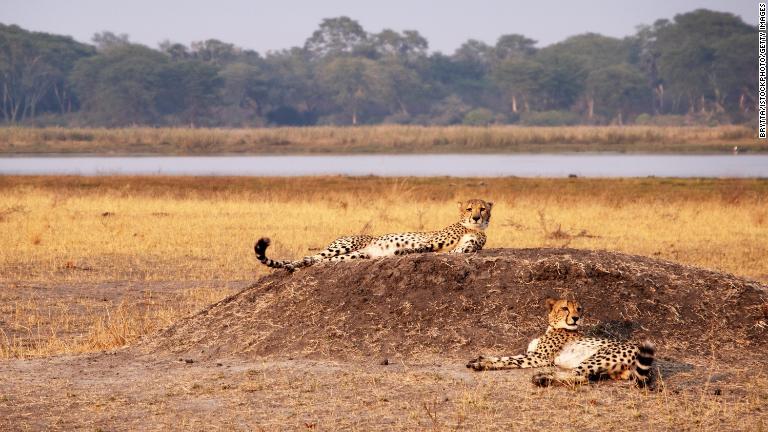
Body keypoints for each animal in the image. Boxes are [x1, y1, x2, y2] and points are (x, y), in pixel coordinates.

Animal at [252, 198, 492, 272]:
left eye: (482, 209)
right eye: (469, 209)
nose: (476, 218)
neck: (472, 229)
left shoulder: (467, 247)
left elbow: (462, 250)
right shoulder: (433, 241)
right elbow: (421, 247)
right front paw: (404, 251)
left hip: (353, 255)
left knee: (316, 260)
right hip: (343, 247)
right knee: (310, 257)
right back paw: (292, 265)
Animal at [464, 296, 656, 388]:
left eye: (578, 309)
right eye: (565, 308)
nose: (576, 318)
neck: (554, 327)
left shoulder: (540, 358)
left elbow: (511, 360)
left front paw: (482, 363)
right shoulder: (532, 353)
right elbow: (507, 357)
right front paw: (481, 360)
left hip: (599, 356)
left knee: (581, 376)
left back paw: (542, 378)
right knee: (584, 377)